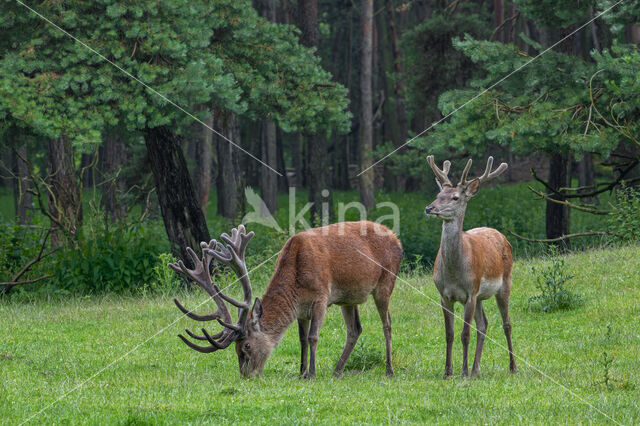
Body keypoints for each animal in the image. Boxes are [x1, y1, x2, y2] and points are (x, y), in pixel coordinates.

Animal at [170, 221, 400, 378]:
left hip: (385, 283)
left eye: (247, 346)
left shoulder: (321, 297)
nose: (246, 375)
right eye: (236, 349)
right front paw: (301, 373)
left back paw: (389, 370)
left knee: (387, 323)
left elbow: (313, 337)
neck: (296, 277)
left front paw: (312, 374)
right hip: (348, 298)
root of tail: (396, 237)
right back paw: (337, 371)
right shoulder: (301, 309)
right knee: (355, 329)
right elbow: (301, 339)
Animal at [424, 156, 516, 380]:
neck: (454, 273)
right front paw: (448, 371)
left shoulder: (470, 293)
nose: (430, 208)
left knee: (507, 323)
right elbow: (449, 334)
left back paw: (512, 366)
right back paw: (476, 369)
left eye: (455, 197)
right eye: (438, 195)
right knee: (483, 325)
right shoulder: (444, 295)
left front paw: (463, 372)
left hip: (504, 283)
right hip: (481, 296)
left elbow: (465, 334)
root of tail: (500, 234)